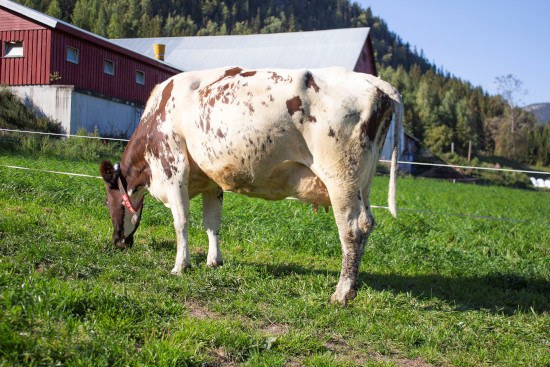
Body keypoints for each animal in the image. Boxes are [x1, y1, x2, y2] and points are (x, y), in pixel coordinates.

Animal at [99, 66, 404, 304]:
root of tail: (379, 83)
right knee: (367, 223)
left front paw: (180, 266)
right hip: (363, 184)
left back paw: (342, 293)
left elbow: (181, 221)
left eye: (107, 201)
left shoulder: (173, 167)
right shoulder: (211, 180)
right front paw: (214, 261)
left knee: (352, 229)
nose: (117, 242)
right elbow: (212, 222)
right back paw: (353, 285)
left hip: (341, 178)